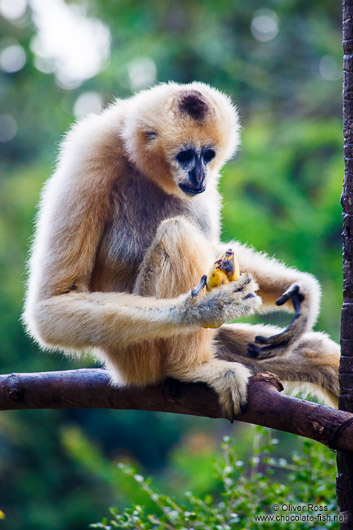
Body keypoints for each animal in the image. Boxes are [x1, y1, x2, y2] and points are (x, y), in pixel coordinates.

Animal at [22, 80, 340, 418]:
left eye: (209, 154)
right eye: (186, 155)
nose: (200, 175)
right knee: (177, 231)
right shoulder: (88, 156)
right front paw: (203, 308)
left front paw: (302, 291)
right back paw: (191, 368)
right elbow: (52, 304)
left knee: (318, 355)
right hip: (135, 354)